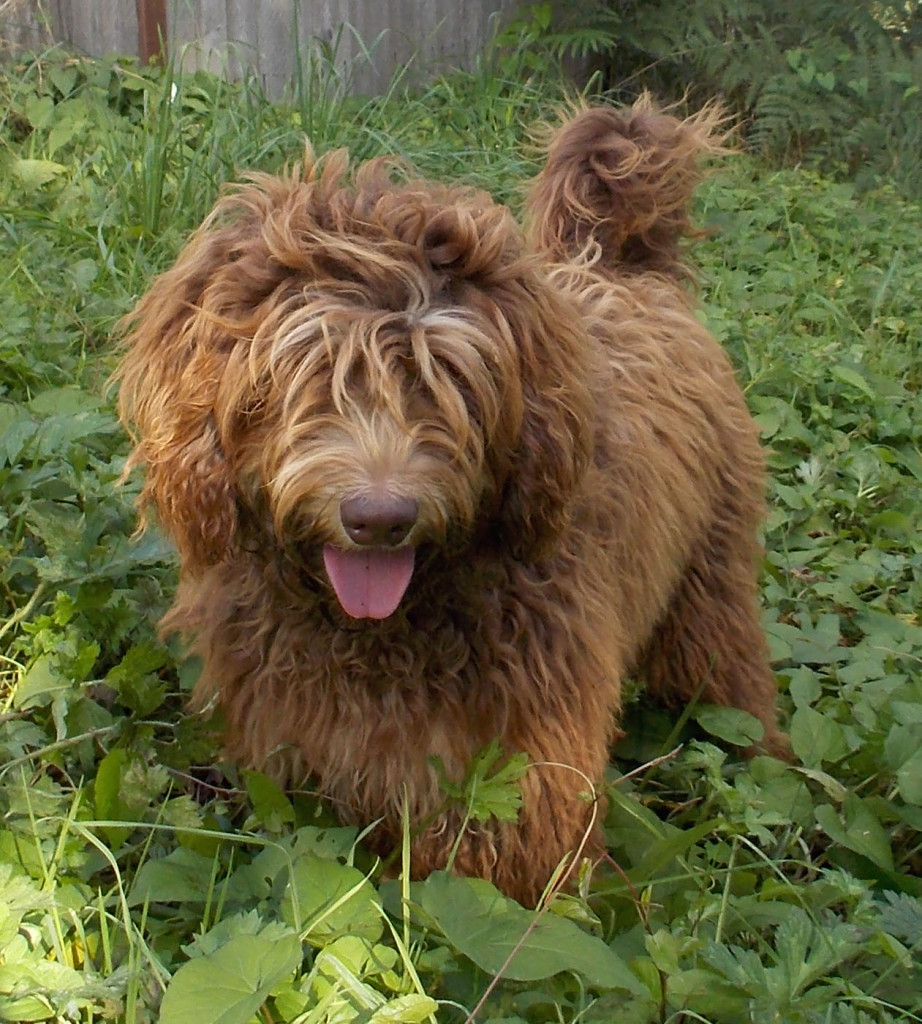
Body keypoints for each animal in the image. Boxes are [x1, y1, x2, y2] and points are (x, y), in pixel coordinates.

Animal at [117, 96, 786, 905]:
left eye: (448, 380)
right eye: (301, 376)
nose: (379, 519)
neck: (379, 633)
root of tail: (625, 268)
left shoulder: (525, 757)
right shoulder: (288, 743)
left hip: (710, 581)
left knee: (727, 676)